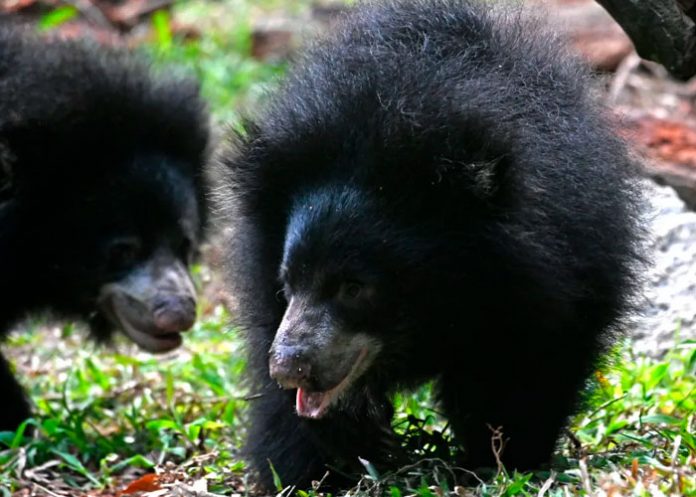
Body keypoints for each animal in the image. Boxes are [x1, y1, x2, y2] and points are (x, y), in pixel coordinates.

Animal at [216, 0, 645, 489]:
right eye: (289, 282)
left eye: (354, 288)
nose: (290, 366)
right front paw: (312, 471)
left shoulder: (546, 279)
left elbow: (520, 368)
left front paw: (501, 457)